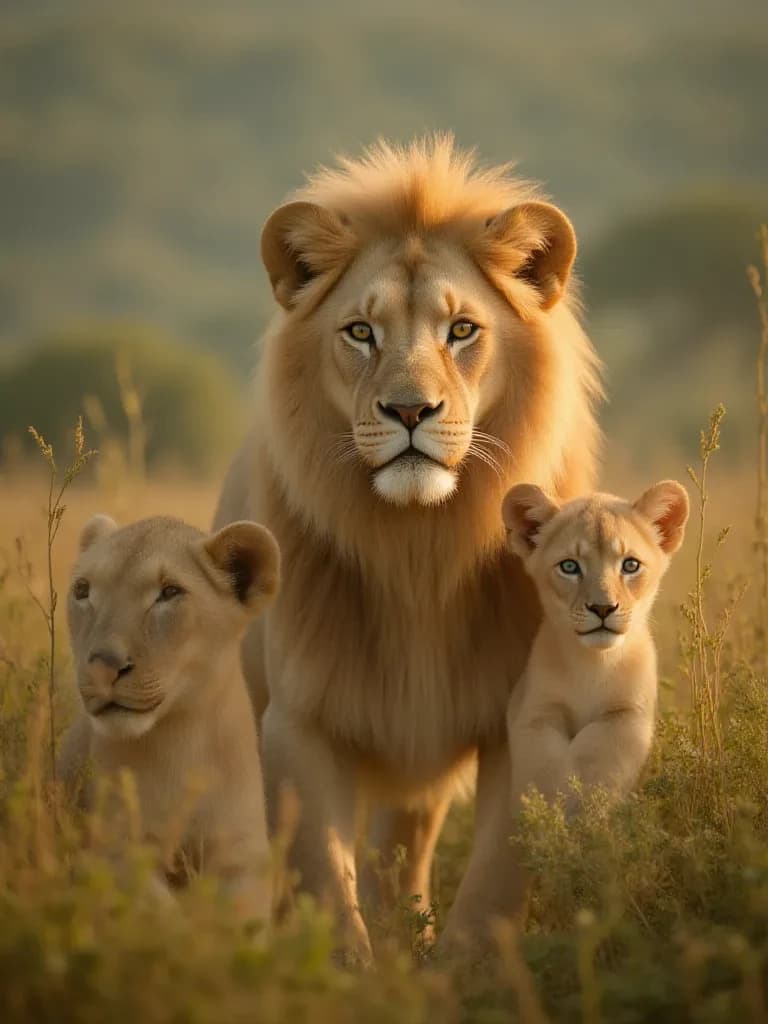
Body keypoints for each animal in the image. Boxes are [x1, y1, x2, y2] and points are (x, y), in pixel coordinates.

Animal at [59, 514, 280, 923]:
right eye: (83, 590)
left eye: (169, 593)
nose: (102, 666)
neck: (181, 739)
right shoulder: (114, 850)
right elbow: (160, 914)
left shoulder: (245, 852)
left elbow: (242, 917)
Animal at [214, 136, 603, 957]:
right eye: (361, 332)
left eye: (462, 331)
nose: (410, 410)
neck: (420, 549)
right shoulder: (298, 721)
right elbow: (323, 882)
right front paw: (347, 970)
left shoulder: (519, 717)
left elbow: (496, 878)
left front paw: (459, 969)